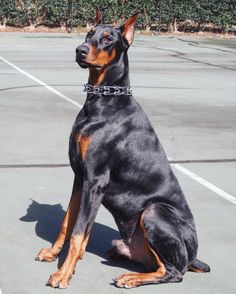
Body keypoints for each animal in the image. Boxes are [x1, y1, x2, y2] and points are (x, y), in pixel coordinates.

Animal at [35, 9, 210, 290]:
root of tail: (193, 256)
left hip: (153, 211)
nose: (80, 50)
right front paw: (53, 254)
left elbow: (78, 231)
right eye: (89, 33)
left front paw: (63, 274)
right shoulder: (80, 177)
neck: (103, 100)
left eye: (108, 39)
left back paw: (131, 278)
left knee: (174, 272)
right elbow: (68, 223)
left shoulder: (96, 180)